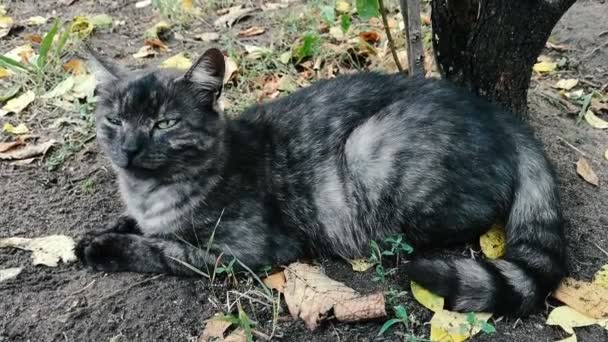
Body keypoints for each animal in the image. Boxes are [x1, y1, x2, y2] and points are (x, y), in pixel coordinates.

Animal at [76, 48, 564, 316]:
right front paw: (104, 230)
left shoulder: (246, 251)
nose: (129, 149)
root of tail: (503, 119)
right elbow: (139, 225)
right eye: (114, 121)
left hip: (370, 149)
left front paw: (105, 247)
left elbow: (168, 250)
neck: (150, 192)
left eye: (164, 123)